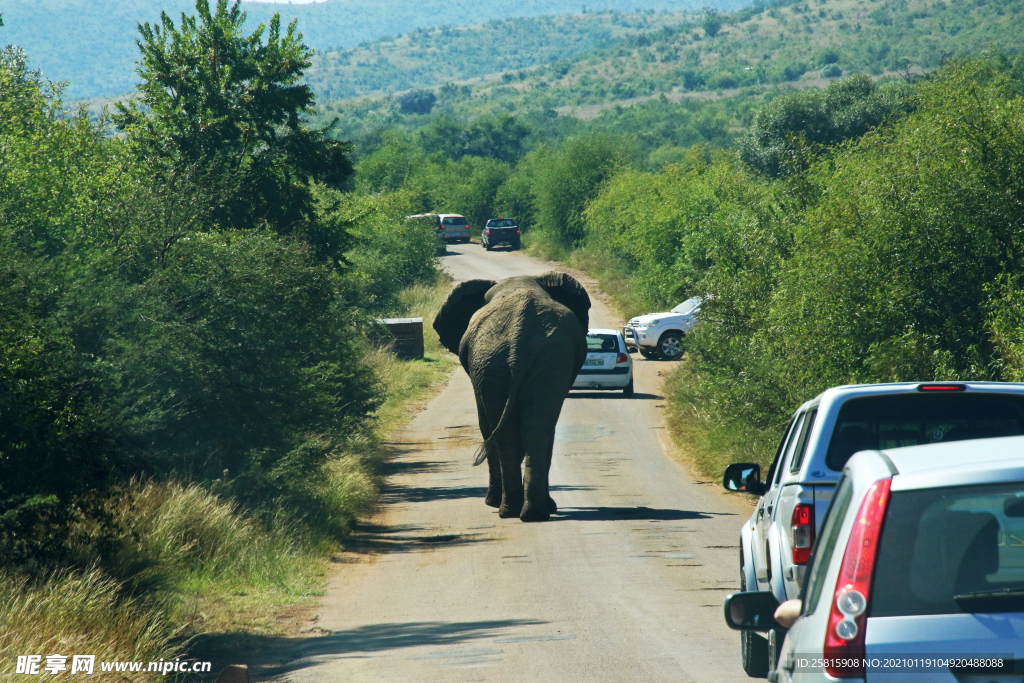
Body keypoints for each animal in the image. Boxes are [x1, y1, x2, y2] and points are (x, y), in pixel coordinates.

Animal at [434, 272, 593, 524]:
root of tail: (520, 334)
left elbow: (485, 425)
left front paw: (492, 502)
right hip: (540, 360)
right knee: (535, 429)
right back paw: (530, 513)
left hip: (496, 362)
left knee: (510, 433)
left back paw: (510, 510)